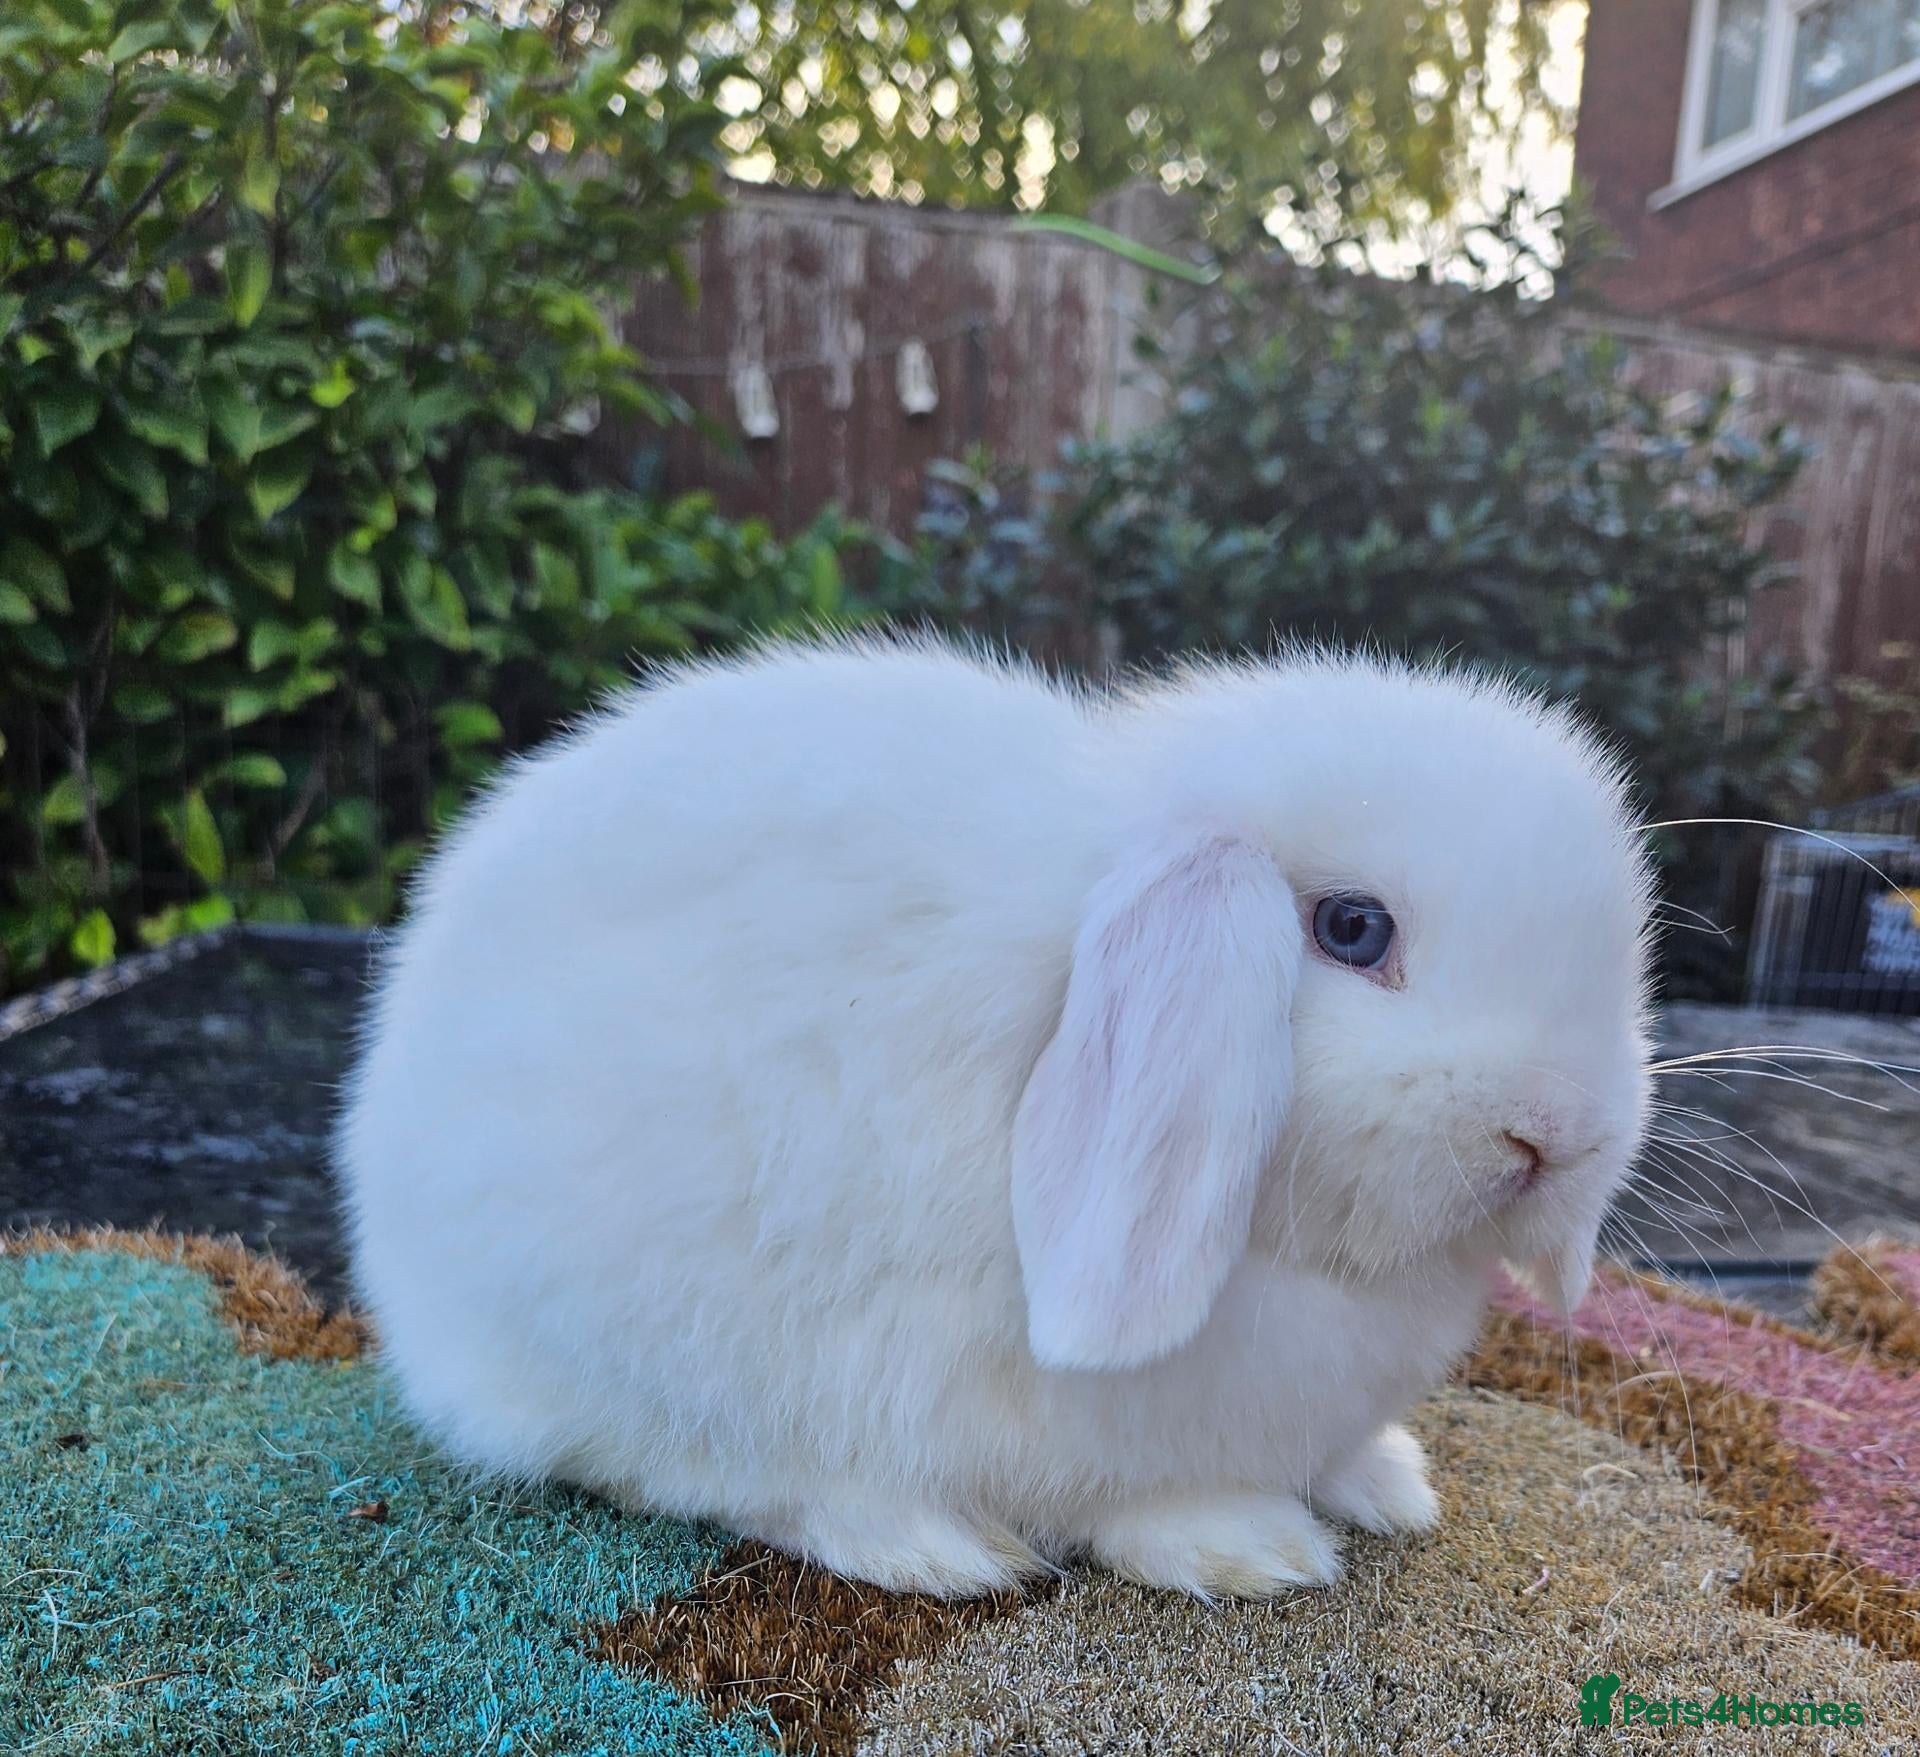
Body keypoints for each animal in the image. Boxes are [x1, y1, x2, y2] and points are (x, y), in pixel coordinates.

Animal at [337, 634, 1654, 1600]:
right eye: (1352, 929)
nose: (1555, 1132)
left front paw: (1387, 1484)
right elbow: (1150, 1499)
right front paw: (1254, 1549)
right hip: (656, 1348)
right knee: (713, 1473)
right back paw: (936, 1548)